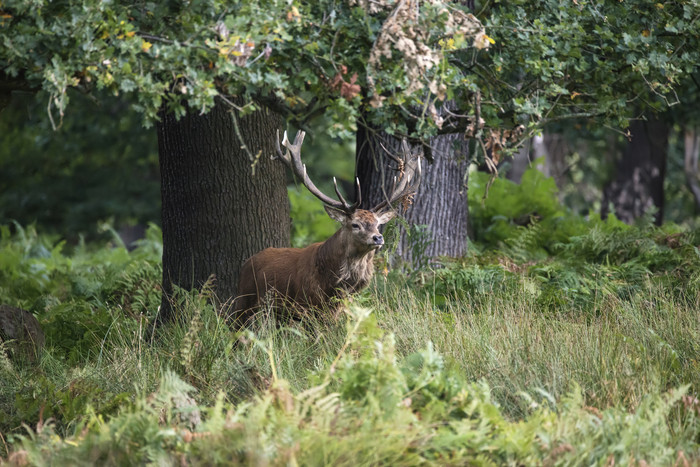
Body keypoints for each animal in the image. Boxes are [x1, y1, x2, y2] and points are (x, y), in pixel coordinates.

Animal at [232, 128, 424, 326]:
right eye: (355, 224)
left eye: (378, 224)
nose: (378, 237)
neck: (333, 284)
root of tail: (246, 263)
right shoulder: (304, 307)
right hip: (244, 302)